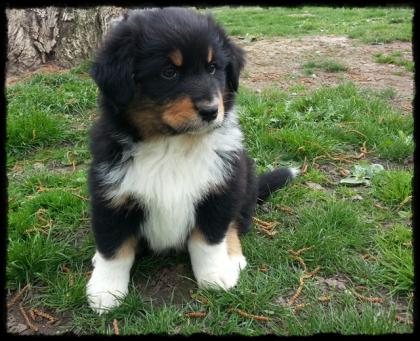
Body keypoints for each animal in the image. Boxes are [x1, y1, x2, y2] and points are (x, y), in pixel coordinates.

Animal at [86, 6, 298, 314]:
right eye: (168, 72)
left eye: (212, 68)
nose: (211, 111)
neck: (172, 146)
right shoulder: (112, 195)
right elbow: (114, 249)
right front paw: (105, 291)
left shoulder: (219, 190)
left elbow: (208, 240)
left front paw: (215, 275)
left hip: (244, 177)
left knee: (236, 223)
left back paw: (233, 257)